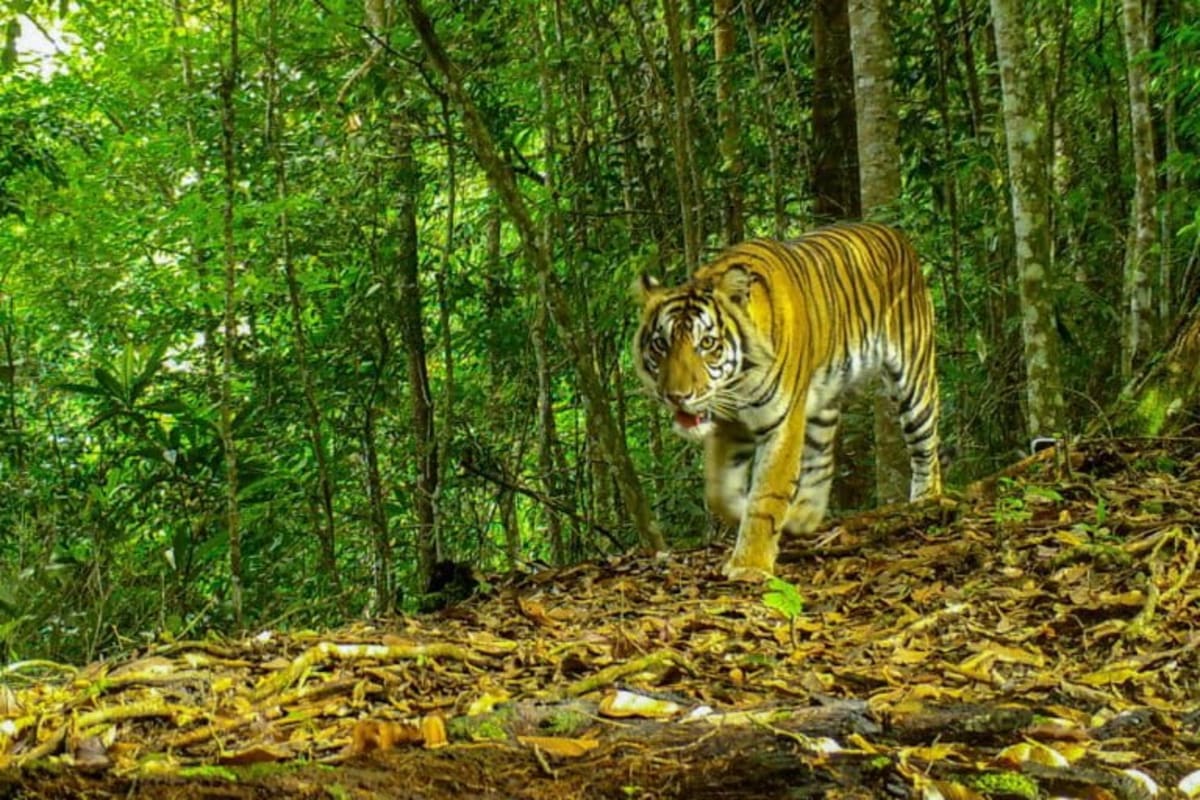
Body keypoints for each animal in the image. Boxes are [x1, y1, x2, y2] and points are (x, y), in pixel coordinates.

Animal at [633, 222, 941, 581]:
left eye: (707, 343)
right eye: (661, 345)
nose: (677, 397)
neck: (737, 383)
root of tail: (897, 235)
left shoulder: (781, 424)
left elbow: (766, 493)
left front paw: (750, 564)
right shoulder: (731, 424)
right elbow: (720, 491)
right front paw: (747, 514)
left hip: (913, 376)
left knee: (925, 443)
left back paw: (927, 500)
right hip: (822, 401)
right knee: (822, 457)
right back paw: (803, 516)